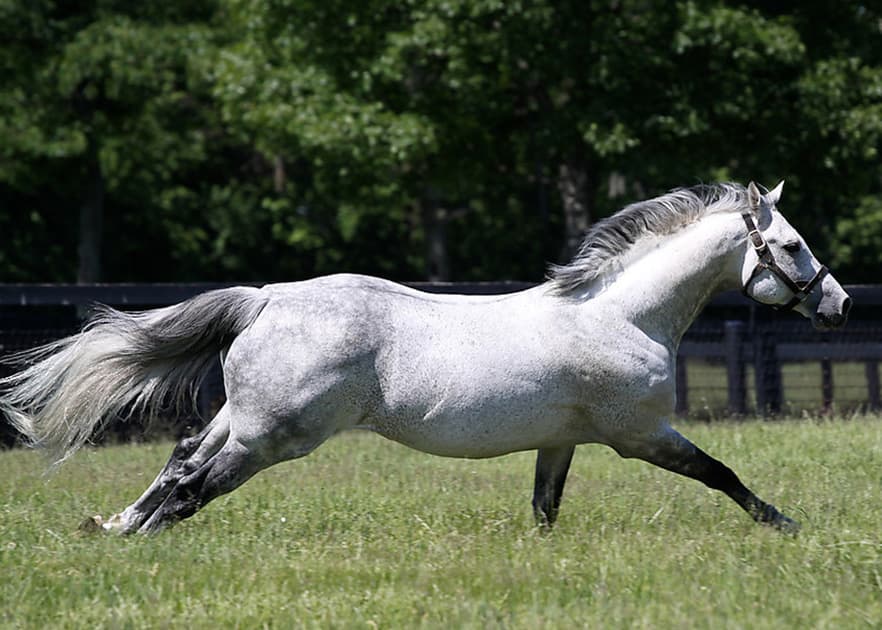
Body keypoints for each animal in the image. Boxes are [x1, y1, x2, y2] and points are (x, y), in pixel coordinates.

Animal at [1, 181, 852, 532]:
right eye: (791, 245)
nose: (838, 305)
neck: (622, 317)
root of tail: (268, 298)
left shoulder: (563, 441)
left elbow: (544, 508)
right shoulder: (640, 435)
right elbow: (723, 473)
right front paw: (784, 525)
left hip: (239, 420)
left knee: (179, 459)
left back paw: (116, 527)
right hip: (271, 437)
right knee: (191, 489)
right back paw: (139, 537)